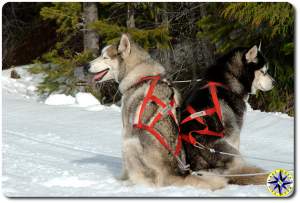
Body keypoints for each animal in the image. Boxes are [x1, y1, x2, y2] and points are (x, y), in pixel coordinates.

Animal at [83, 34, 226, 190]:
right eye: (100, 54)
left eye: (105, 57)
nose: (85, 66)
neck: (140, 75)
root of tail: (172, 171)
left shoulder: (127, 129)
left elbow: (125, 168)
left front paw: (121, 179)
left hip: (129, 144)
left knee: (146, 182)